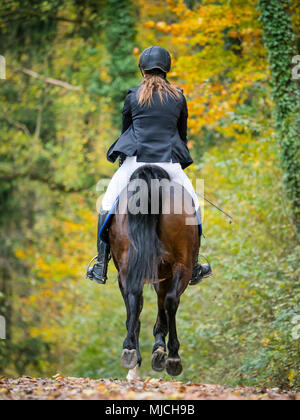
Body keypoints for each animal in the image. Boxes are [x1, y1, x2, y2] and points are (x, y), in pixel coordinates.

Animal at [108, 163, 199, 378]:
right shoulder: (165, 273)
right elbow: (161, 303)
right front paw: (159, 349)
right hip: (182, 266)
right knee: (170, 300)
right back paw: (172, 356)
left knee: (136, 297)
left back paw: (131, 352)